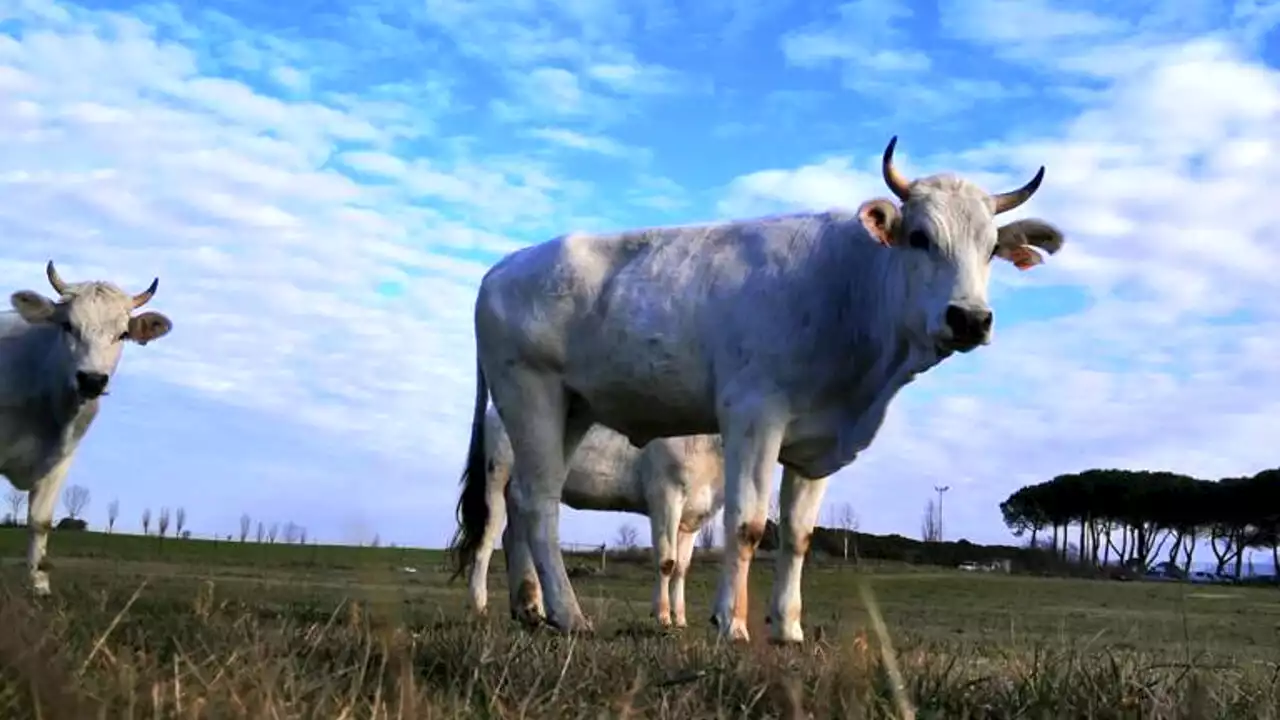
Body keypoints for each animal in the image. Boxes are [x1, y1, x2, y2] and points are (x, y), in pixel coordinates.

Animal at [1, 260, 174, 591]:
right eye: (68, 326)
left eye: (123, 334)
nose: (92, 379)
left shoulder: (62, 459)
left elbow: (40, 521)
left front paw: (39, 584)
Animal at [453, 137, 1070, 640]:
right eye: (919, 237)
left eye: (990, 248)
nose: (970, 318)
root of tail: (502, 267)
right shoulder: (752, 415)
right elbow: (745, 527)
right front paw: (731, 623)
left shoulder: (813, 445)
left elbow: (796, 535)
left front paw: (788, 628)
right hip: (528, 395)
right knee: (534, 506)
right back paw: (565, 614)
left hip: (573, 409)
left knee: (528, 509)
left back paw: (531, 608)